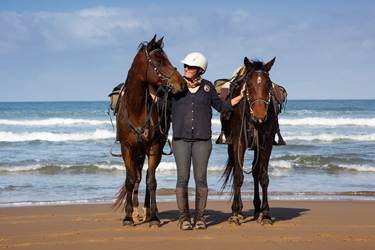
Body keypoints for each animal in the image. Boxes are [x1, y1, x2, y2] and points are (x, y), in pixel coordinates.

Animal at [113, 35, 187, 229]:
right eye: (160, 60)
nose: (182, 83)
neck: (136, 110)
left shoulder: (154, 148)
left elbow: (151, 181)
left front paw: (153, 217)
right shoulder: (127, 149)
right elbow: (130, 180)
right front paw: (128, 217)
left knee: (146, 176)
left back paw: (147, 211)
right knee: (138, 177)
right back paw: (137, 212)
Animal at [220, 57, 284, 227]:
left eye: (268, 85)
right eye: (248, 85)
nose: (259, 118)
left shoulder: (266, 143)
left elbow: (263, 177)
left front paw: (266, 214)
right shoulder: (238, 143)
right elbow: (238, 176)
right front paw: (234, 214)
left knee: (255, 173)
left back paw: (257, 210)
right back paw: (240, 211)